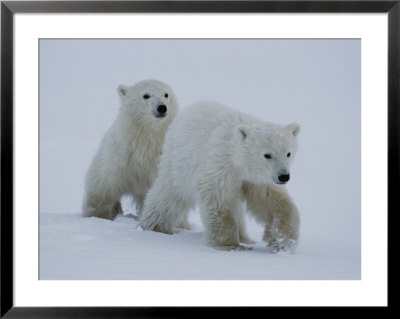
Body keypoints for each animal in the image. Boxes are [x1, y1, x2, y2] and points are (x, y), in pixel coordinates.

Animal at [83, 79, 178, 220]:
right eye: (146, 95)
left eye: (166, 94)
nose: (162, 107)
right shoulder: (119, 158)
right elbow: (103, 190)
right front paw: (98, 216)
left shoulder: (159, 159)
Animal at [141, 102, 300, 252]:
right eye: (267, 154)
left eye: (288, 153)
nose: (284, 176)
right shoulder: (220, 165)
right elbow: (219, 200)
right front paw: (229, 245)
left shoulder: (257, 179)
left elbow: (271, 200)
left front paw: (283, 240)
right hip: (178, 162)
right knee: (168, 195)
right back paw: (154, 226)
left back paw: (246, 238)